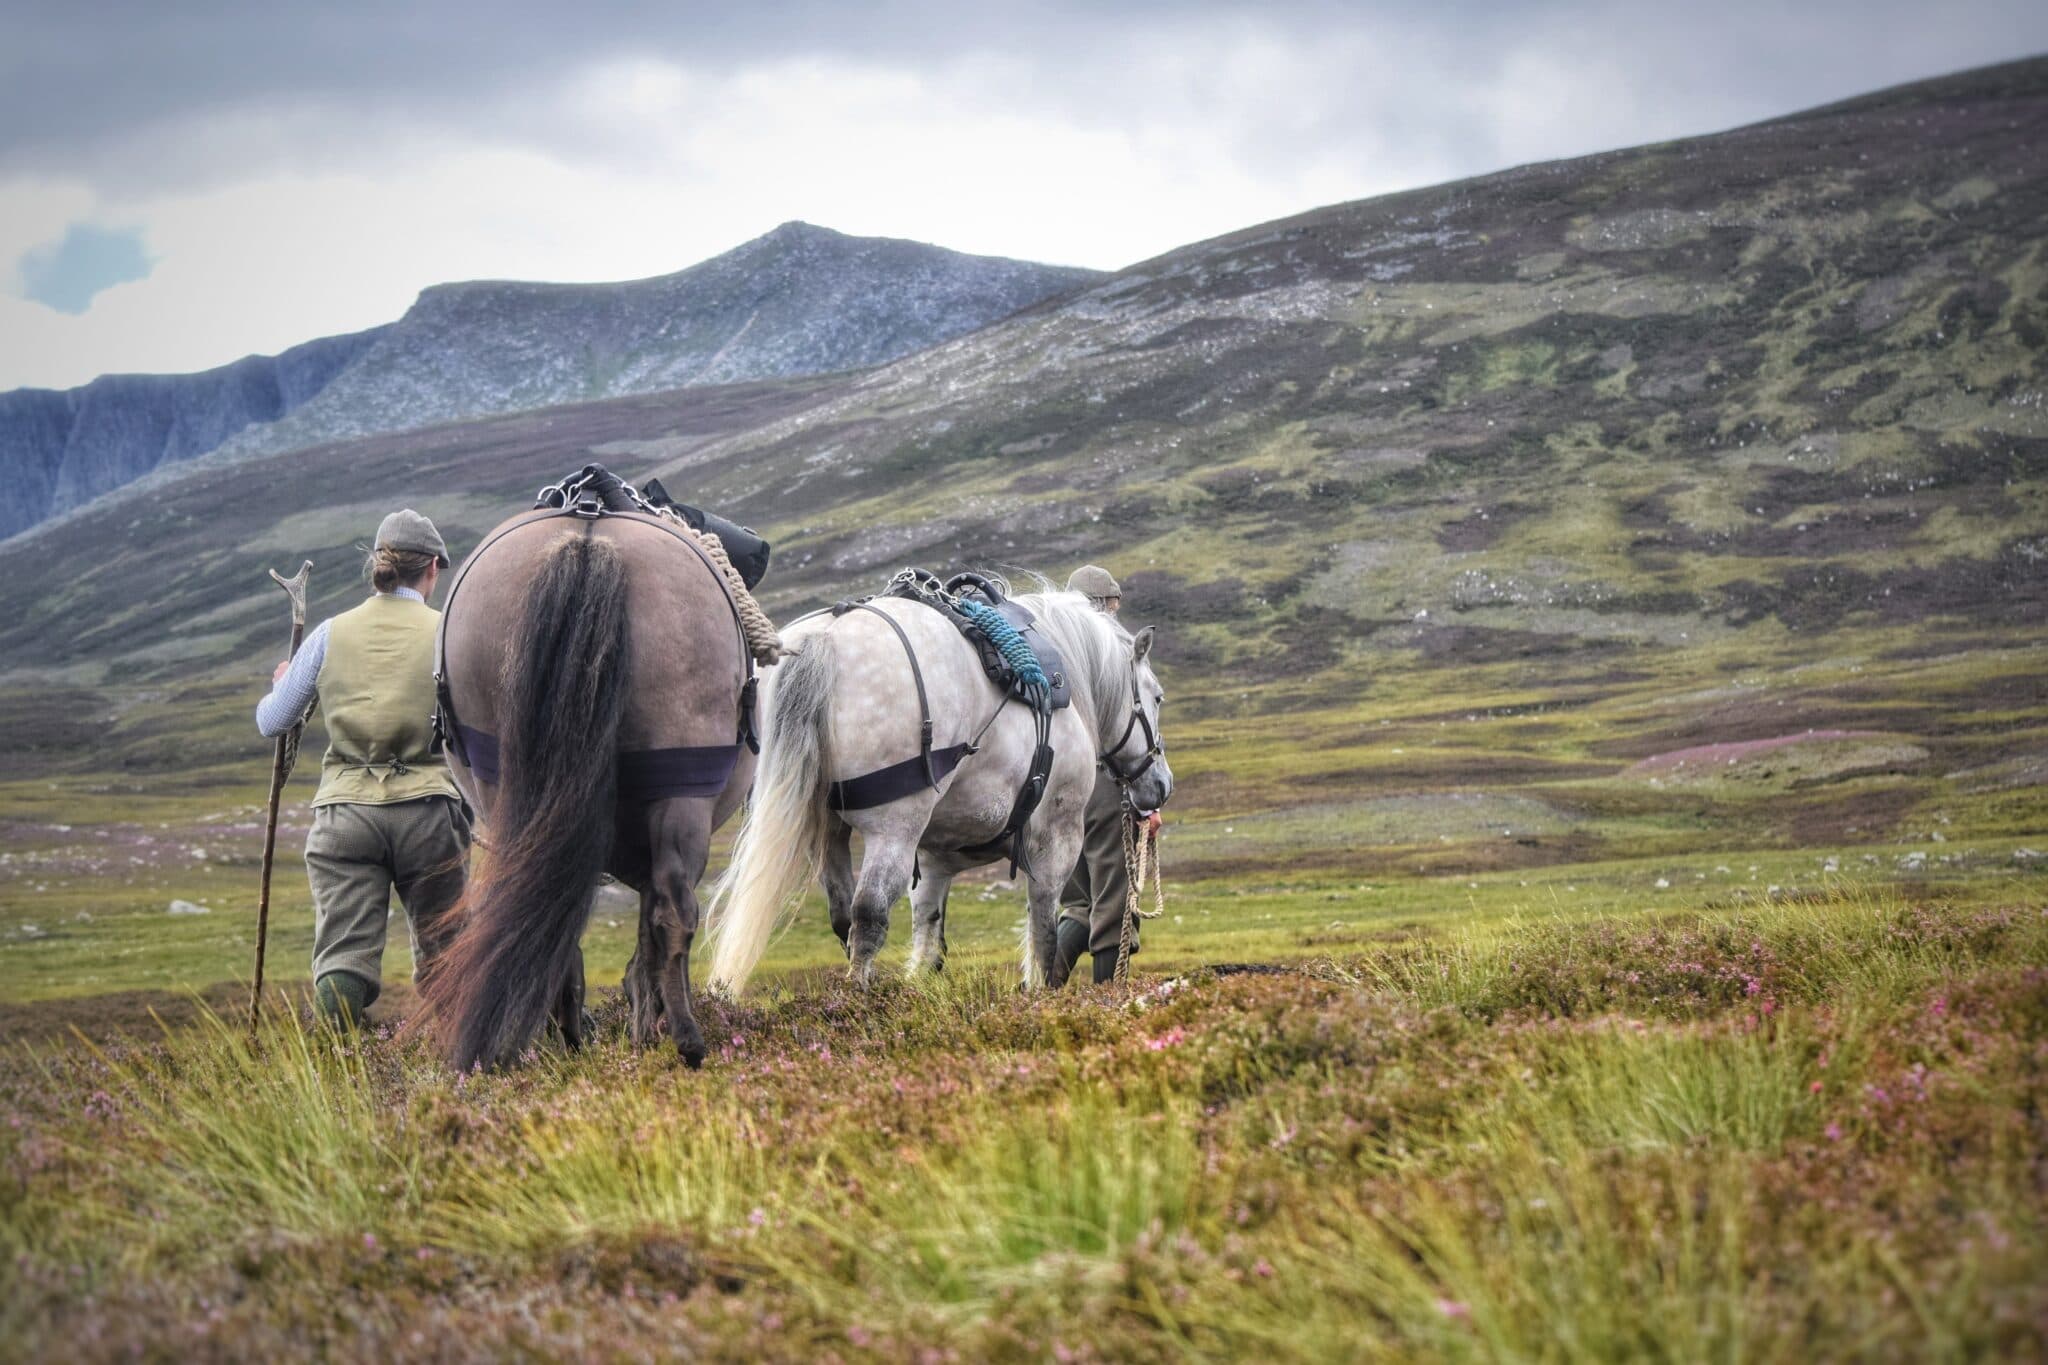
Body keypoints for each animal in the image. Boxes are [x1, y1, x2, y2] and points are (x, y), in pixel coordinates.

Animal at [419, 505, 759, 1070]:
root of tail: (588, 532)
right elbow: (649, 937)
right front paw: (648, 1025)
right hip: (682, 794)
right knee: (673, 907)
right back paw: (683, 1039)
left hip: (503, 793)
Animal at [706, 583, 1172, 993]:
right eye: (1157, 697)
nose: (1161, 785)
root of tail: (824, 640)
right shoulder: (1058, 839)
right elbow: (1044, 932)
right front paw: (1039, 993)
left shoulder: (933, 859)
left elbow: (927, 941)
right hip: (894, 828)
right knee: (869, 912)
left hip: (828, 830)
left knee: (843, 915)